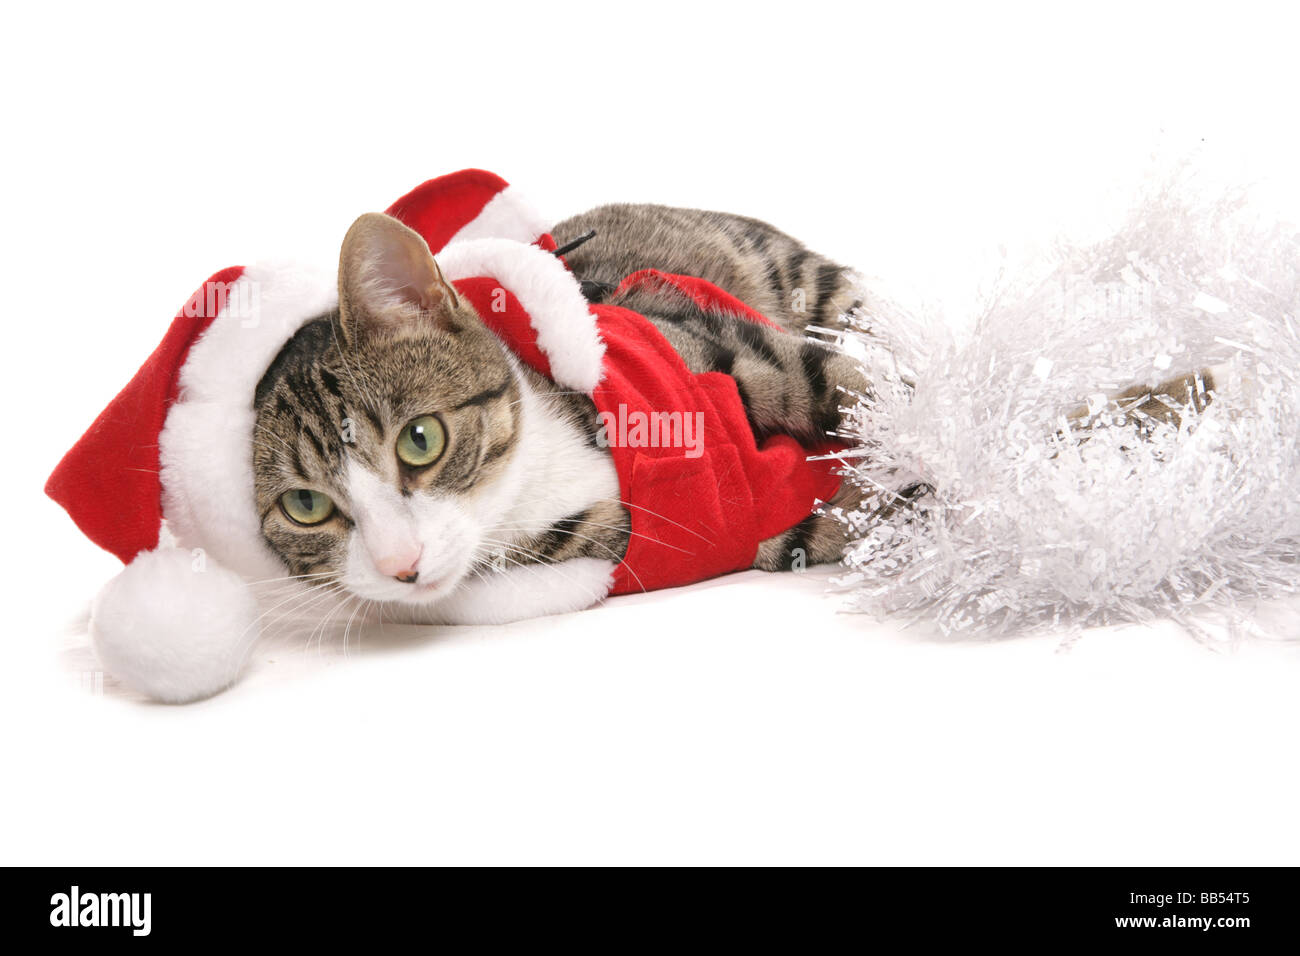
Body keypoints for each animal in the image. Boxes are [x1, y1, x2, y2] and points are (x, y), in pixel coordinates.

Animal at [246, 202, 868, 624]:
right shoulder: (717, 531)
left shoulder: (715, 347)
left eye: (419, 439)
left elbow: (838, 381)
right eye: (305, 506)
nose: (401, 564)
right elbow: (817, 521)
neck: (527, 481)